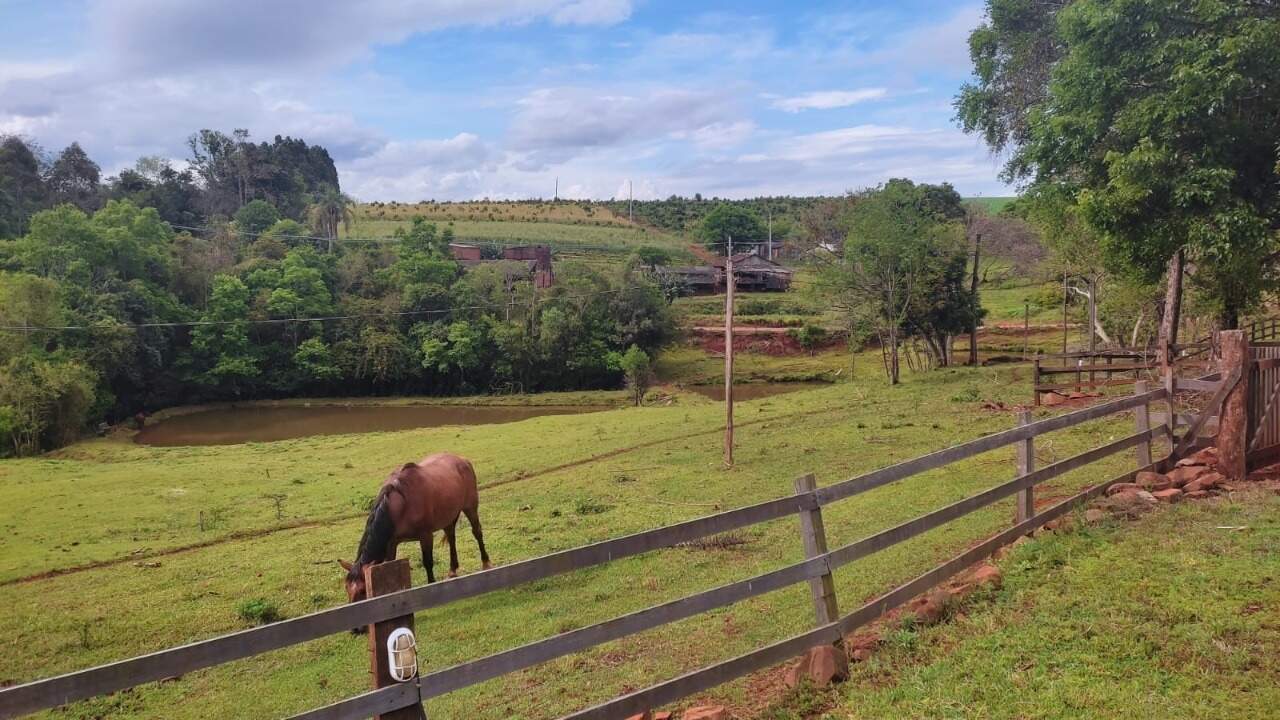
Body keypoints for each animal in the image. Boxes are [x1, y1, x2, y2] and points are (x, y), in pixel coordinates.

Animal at [340, 448, 488, 599]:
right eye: (347, 588)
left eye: (362, 590)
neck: (399, 506)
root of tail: (462, 459)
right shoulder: (391, 544)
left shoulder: (426, 536)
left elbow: (428, 562)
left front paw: (431, 585)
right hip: (448, 516)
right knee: (451, 537)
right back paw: (452, 570)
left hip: (470, 507)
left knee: (477, 532)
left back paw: (486, 563)